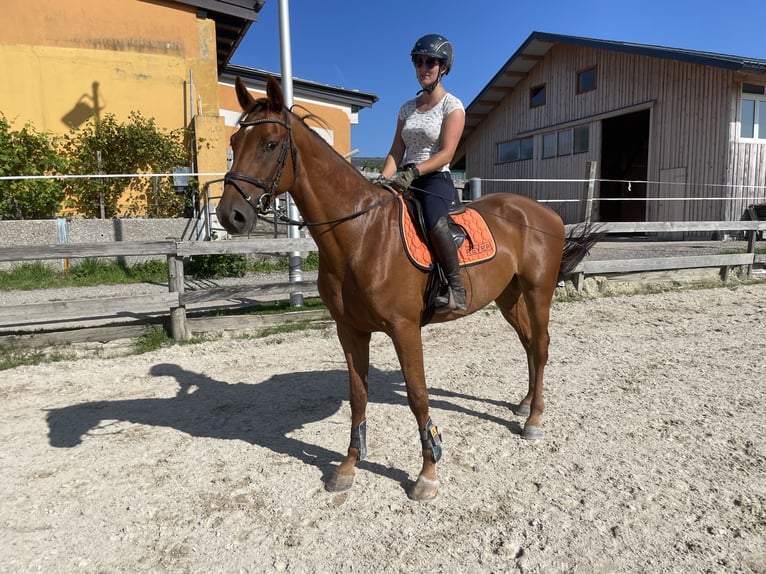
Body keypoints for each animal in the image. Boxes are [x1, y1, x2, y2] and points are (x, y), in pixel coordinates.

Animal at [219, 77, 604, 504]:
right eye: (234, 142)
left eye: (270, 144)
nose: (230, 215)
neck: (361, 234)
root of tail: (544, 211)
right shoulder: (350, 330)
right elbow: (358, 396)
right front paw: (348, 466)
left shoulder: (404, 329)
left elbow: (418, 395)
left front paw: (428, 472)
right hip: (509, 297)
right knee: (529, 346)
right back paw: (524, 405)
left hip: (538, 293)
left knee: (541, 345)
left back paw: (534, 419)